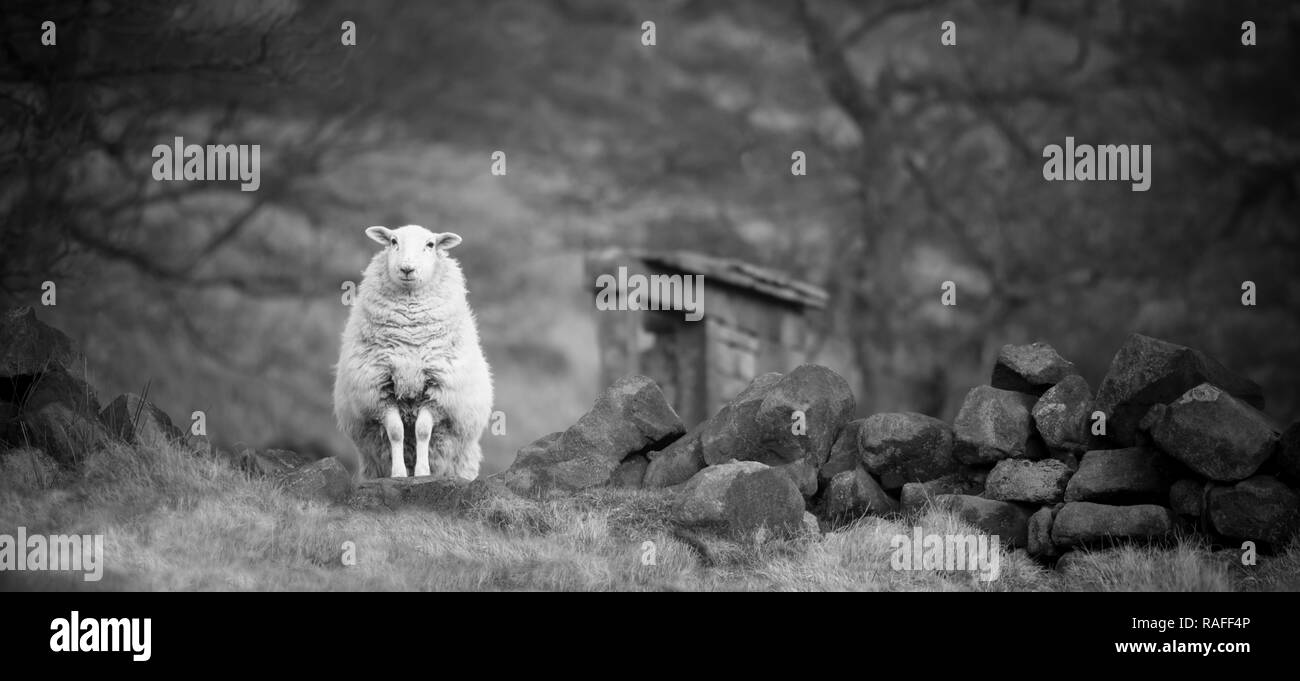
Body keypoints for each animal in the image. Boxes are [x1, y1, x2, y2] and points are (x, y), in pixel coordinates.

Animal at [333, 224, 493, 480]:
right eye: (393, 241)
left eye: (430, 244)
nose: (407, 268)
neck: (410, 337)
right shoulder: (381, 392)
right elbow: (396, 432)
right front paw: (399, 474)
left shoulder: (437, 392)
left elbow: (423, 431)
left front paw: (422, 472)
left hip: (463, 456)